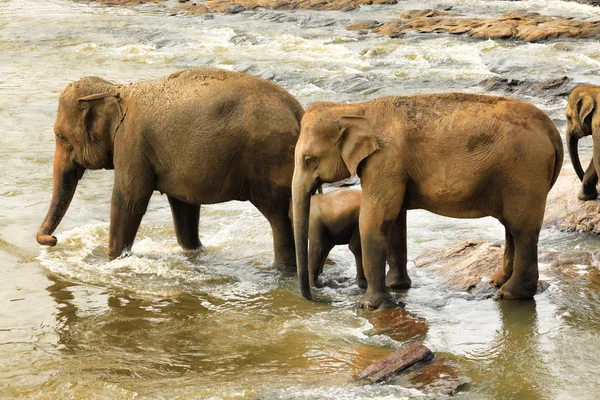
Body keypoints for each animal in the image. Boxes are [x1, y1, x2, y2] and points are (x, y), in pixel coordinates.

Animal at [36, 69, 304, 268]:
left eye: (61, 136)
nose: (54, 239)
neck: (115, 89)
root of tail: (297, 111)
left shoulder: (131, 143)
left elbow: (129, 201)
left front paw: (111, 262)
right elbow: (184, 206)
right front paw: (193, 253)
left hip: (270, 160)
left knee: (279, 217)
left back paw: (283, 271)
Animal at [292, 92, 564, 308]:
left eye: (308, 159)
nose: (316, 298)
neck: (355, 109)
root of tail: (553, 132)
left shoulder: (384, 161)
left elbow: (376, 219)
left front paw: (370, 305)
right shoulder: (393, 169)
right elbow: (396, 219)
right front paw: (397, 286)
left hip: (525, 171)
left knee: (522, 229)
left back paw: (511, 294)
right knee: (511, 227)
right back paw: (498, 282)